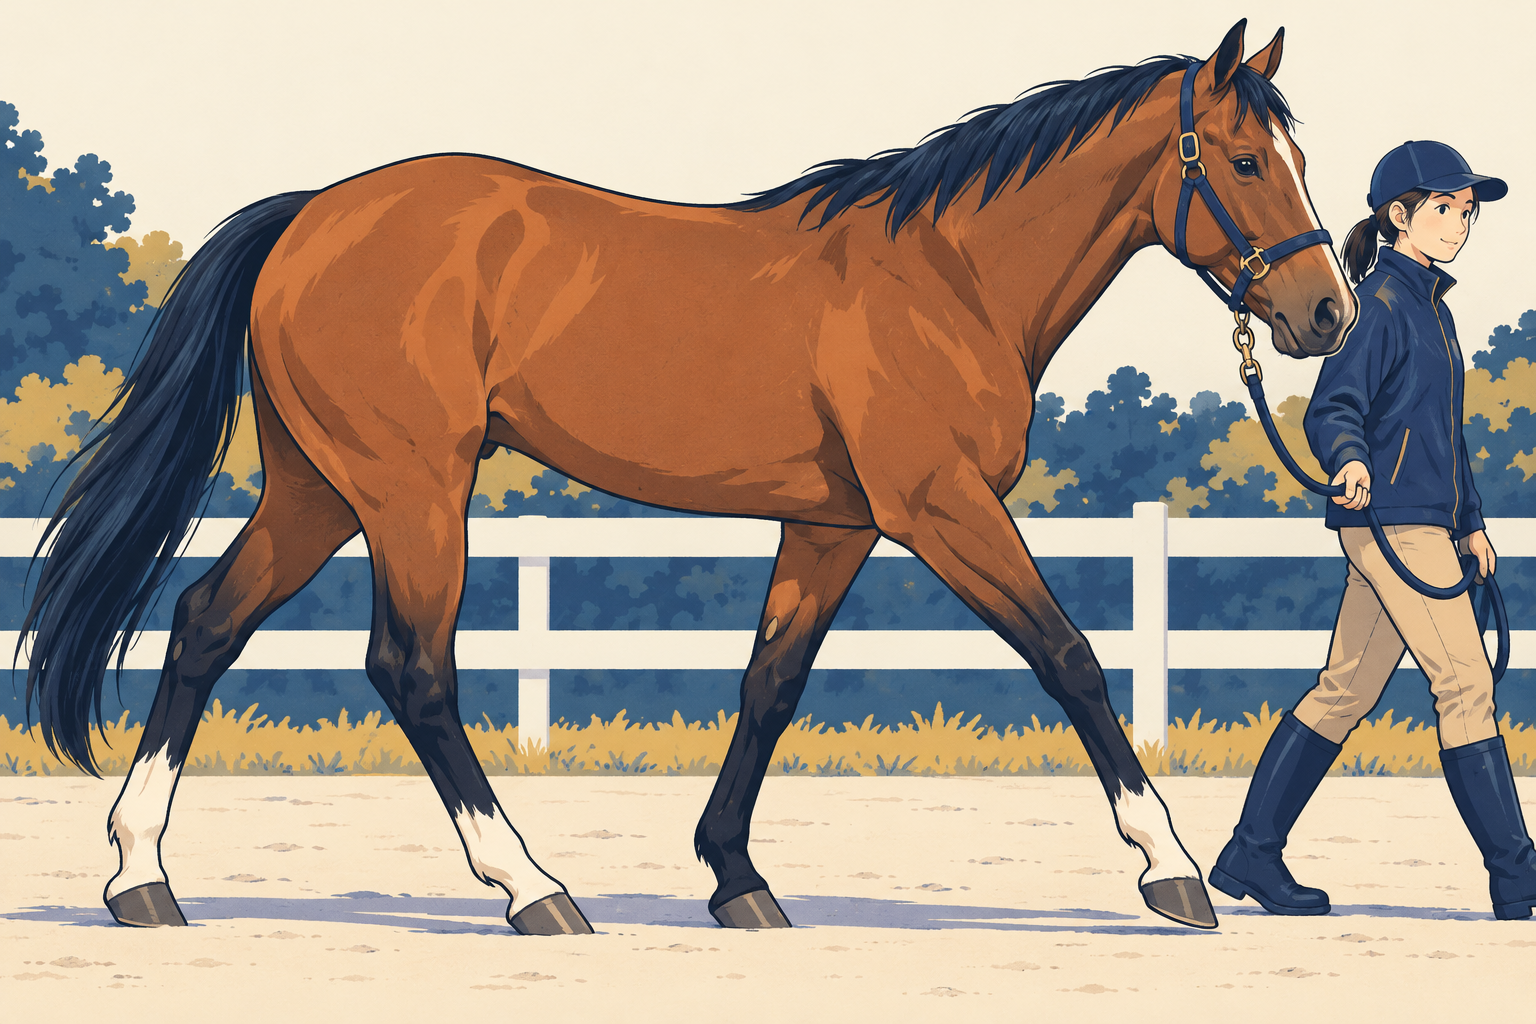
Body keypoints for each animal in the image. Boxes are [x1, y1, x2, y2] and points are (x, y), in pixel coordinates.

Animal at [21, 19, 1353, 933]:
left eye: (1294, 154)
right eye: (1244, 160)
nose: (1324, 314)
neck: (946, 275)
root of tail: (308, 217)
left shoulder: (834, 526)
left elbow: (770, 684)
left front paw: (735, 876)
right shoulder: (940, 507)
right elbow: (1068, 653)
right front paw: (1169, 867)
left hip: (318, 487)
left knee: (205, 621)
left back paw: (141, 874)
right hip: (409, 490)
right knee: (412, 668)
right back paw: (531, 887)